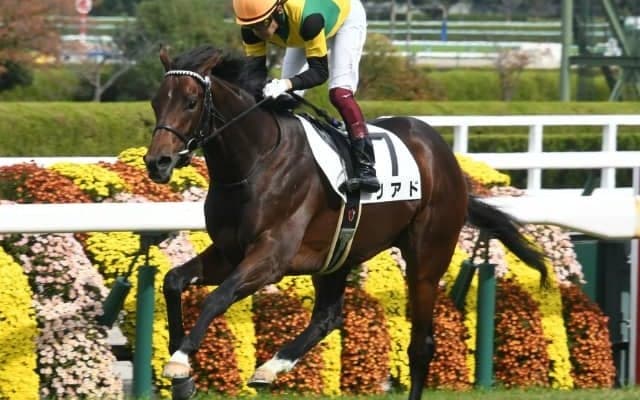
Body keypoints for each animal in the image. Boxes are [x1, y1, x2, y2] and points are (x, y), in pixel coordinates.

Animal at [143, 44, 547, 400]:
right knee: (328, 316)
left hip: (426, 258)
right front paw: (181, 367)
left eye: (191, 102)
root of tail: (445, 157)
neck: (254, 162)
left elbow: (218, 297)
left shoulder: (271, 257)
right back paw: (271, 367)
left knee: (420, 345)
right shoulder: (229, 252)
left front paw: (180, 360)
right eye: (155, 102)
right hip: (338, 252)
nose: (157, 162)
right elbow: (173, 281)